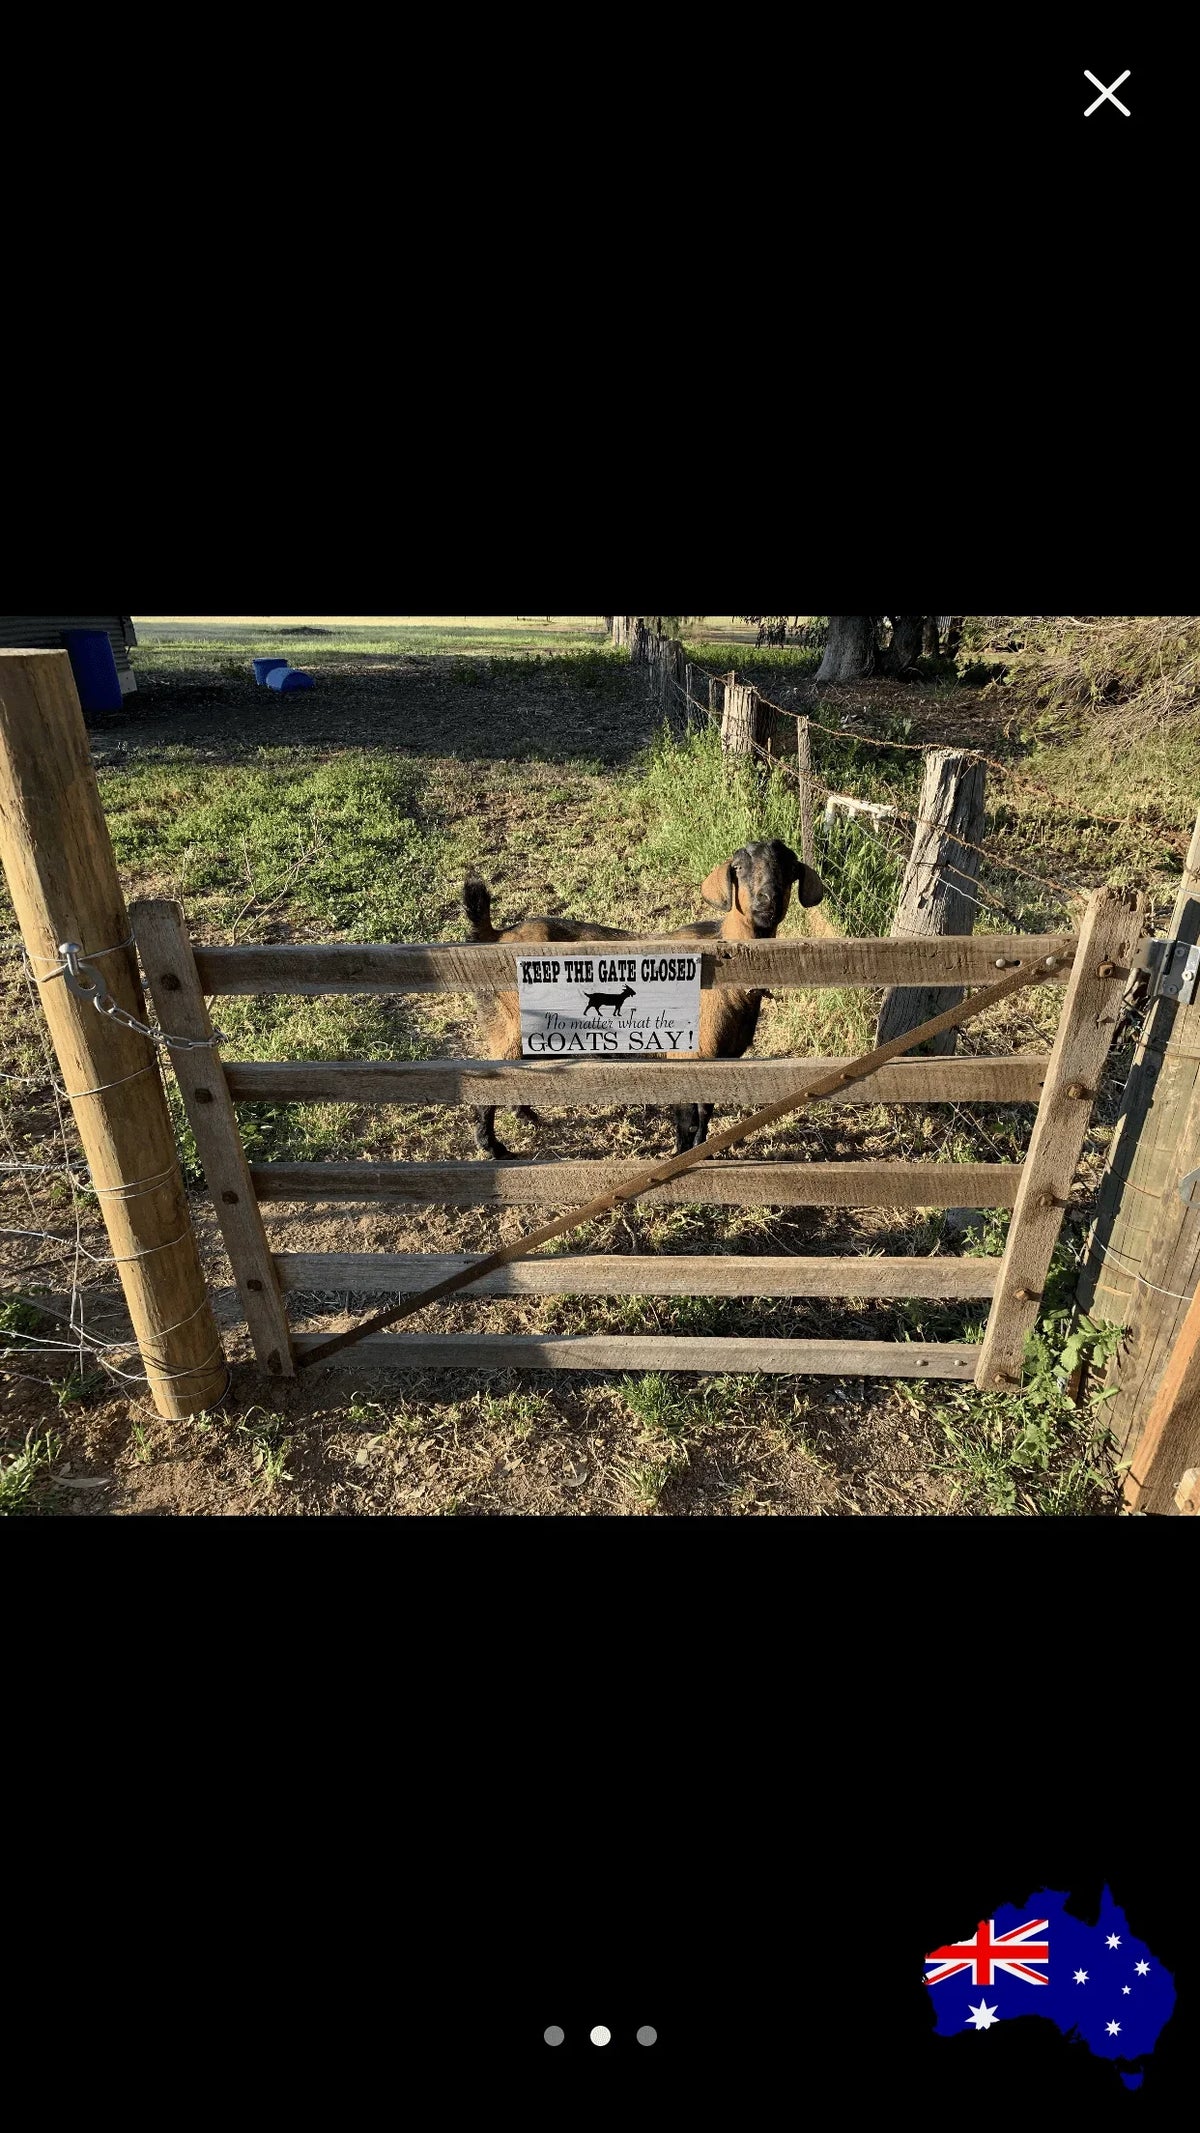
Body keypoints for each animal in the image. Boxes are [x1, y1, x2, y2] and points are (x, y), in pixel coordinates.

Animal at [461, 841, 826, 1158]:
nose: (766, 902)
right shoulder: (687, 1055)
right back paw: (494, 1148)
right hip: (510, 1024)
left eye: (790, 869)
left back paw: (525, 1115)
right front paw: (682, 1157)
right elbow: (687, 1118)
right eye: (738, 868)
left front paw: (702, 1154)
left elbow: (705, 1115)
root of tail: (494, 935)